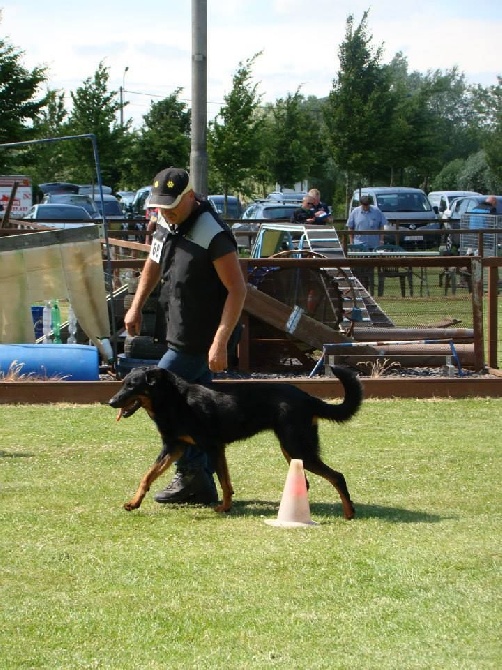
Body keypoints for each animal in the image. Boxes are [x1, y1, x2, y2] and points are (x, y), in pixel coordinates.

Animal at [109, 368, 360, 520]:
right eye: (122, 384)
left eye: (132, 386)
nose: (111, 401)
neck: (174, 400)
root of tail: (308, 397)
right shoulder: (173, 447)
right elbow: (147, 476)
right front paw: (134, 503)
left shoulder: (213, 447)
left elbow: (223, 480)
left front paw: (224, 508)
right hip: (292, 450)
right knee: (307, 481)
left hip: (298, 448)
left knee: (337, 476)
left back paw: (349, 512)